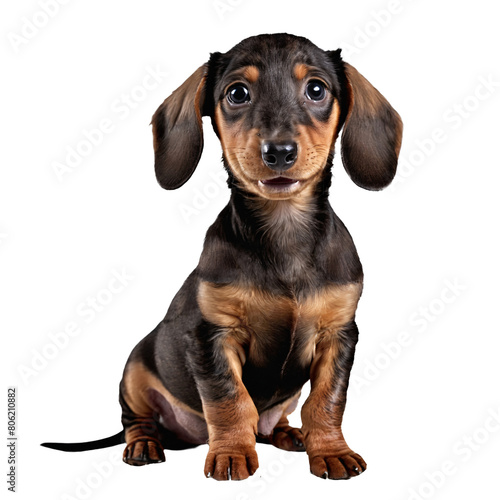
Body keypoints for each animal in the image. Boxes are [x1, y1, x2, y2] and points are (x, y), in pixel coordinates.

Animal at [42, 34, 402, 480]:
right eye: (237, 93)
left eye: (316, 89)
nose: (278, 152)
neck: (284, 232)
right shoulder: (212, 335)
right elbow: (229, 400)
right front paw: (231, 453)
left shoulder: (339, 334)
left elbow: (326, 401)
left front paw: (331, 451)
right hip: (135, 371)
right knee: (136, 420)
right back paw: (144, 444)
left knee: (275, 420)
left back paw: (289, 434)